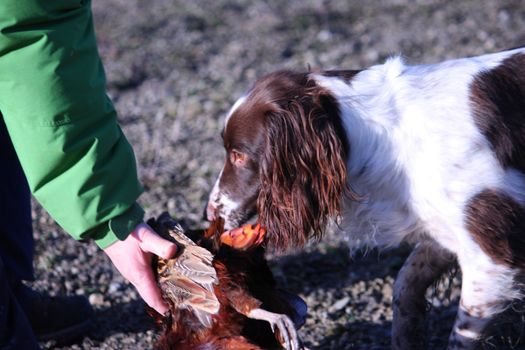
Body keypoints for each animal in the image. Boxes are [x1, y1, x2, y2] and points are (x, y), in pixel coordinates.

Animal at [205, 47, 524, 350]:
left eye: (239, 155)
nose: (210, 212)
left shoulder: (491, 257)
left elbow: (460, 334)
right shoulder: (444, 235)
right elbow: (405, 286)